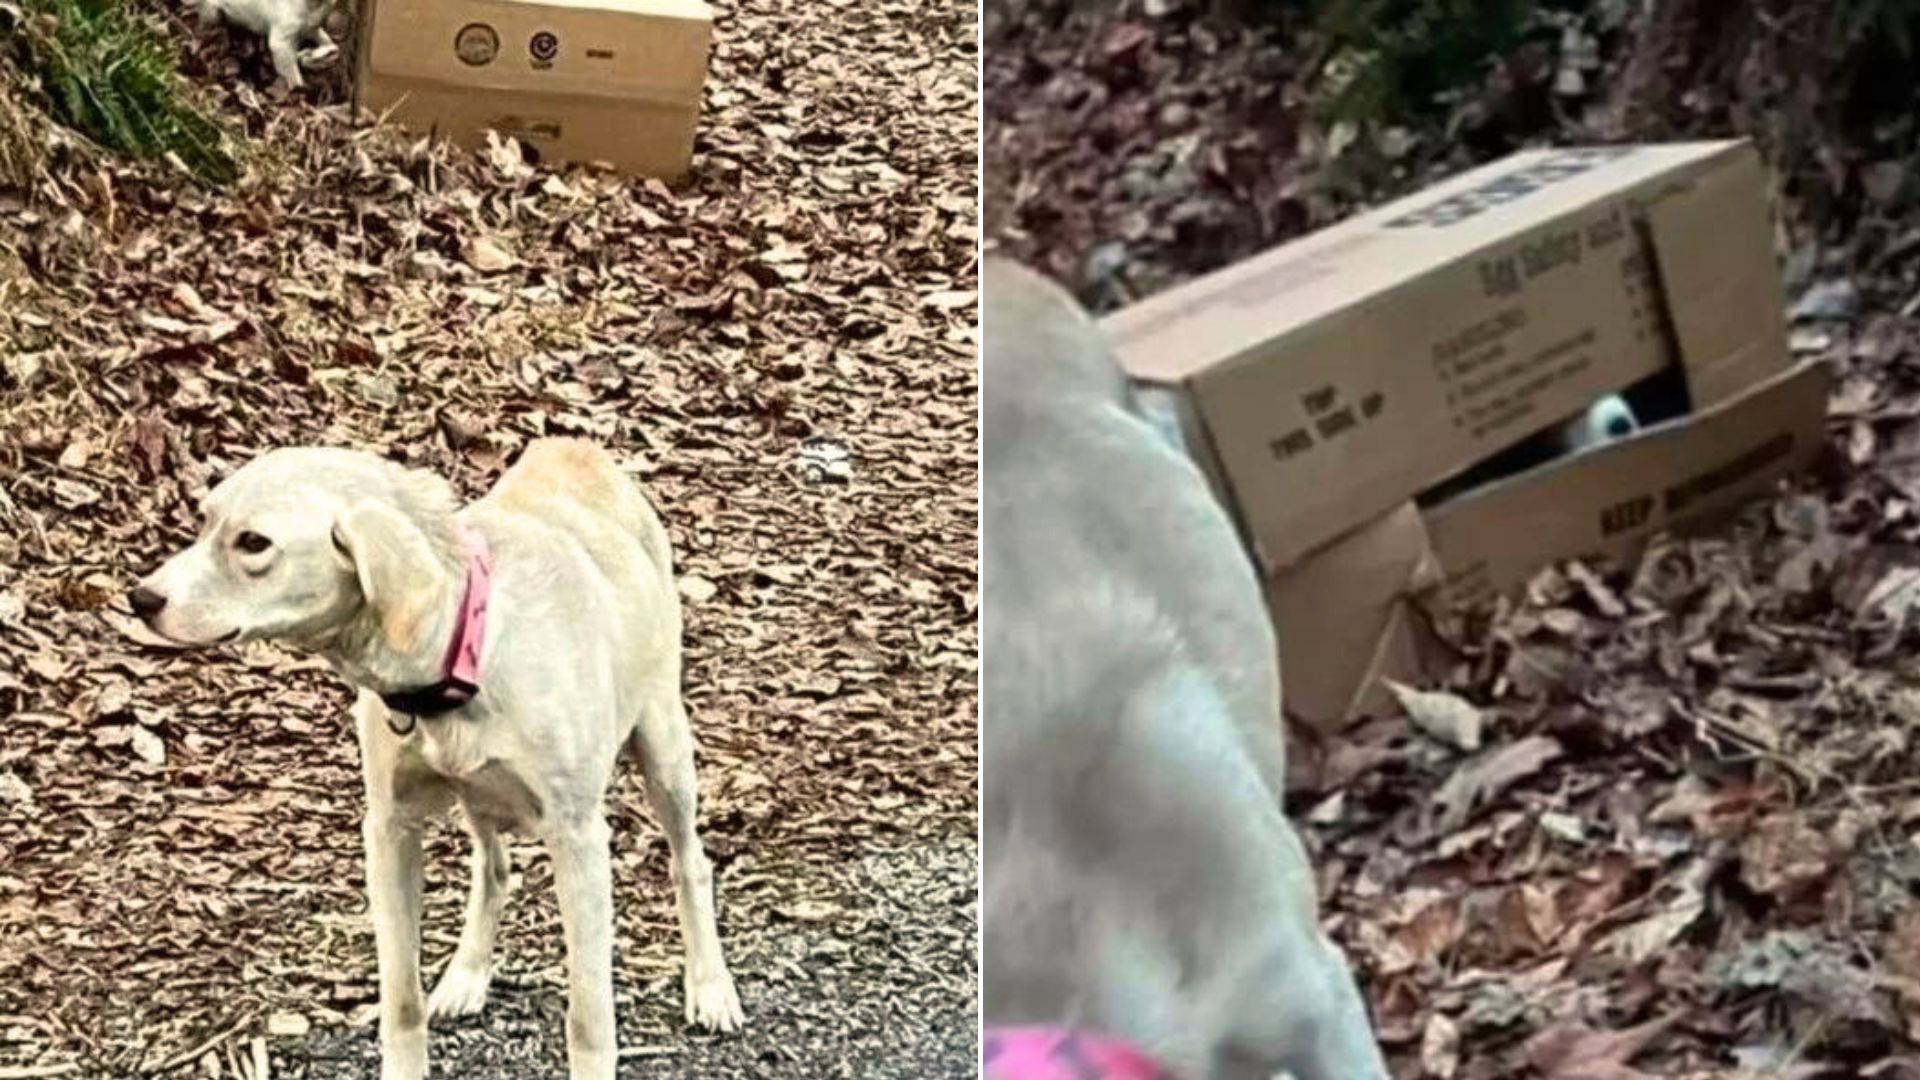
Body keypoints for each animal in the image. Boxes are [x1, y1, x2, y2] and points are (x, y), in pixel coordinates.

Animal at [133, 438, 741, 1076]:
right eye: (203, 521)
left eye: (253, 543)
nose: (140, 597)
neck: (466, 645)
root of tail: (571, 446)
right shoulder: (390, 832)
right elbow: (402, 1001)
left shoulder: (578, 840)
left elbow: (589, 1017)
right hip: (480, 799)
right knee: (494, 869)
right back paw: (468, 975)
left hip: (664, 750)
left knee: (690, 862)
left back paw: (711, 987)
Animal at [194, 0, 337, 88]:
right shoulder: (281, 40)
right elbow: (293, 76)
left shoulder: (309, 27)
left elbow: (330, 44)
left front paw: (313, 56)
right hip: (213, 12)